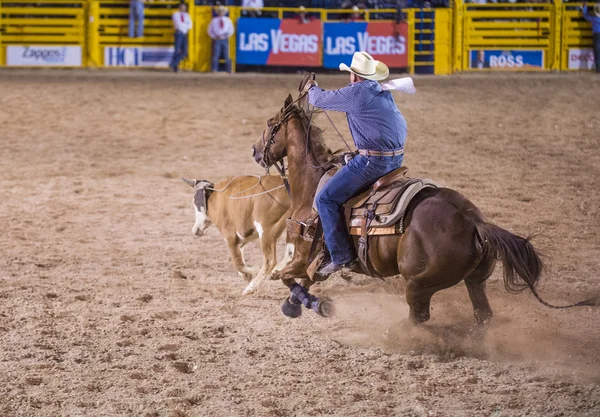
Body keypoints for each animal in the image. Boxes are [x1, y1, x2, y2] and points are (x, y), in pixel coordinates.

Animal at [250, 92, 596, 324]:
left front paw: (314, 305)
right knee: (483, 314)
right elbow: (299, 281)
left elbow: (288, 278)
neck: (313, 185)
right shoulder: (312, 262)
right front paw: (297, 304)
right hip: (475, 280)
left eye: (270, 124)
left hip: (419, 284)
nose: (255, 150)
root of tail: (473, 221)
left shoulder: (304, 256)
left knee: (419, 316)